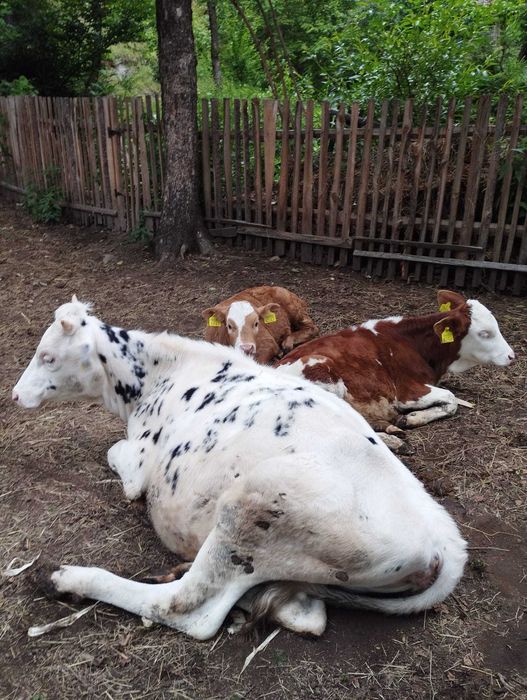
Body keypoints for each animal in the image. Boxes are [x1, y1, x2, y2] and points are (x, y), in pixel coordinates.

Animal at [12, 297, 467, 640]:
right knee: (305, 614)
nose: (15, 394)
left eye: (47, 356)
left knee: (186, 609)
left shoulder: (138, 463)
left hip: (253, 504)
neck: (155, 380)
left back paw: (64, 577)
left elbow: (115, 454)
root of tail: (445, 544)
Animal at [276, 290, 514, 435]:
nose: (512, 356)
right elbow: (452, 399)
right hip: (322, 372)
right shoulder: (406, 392)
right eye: (485, 333)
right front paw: (413, 418)